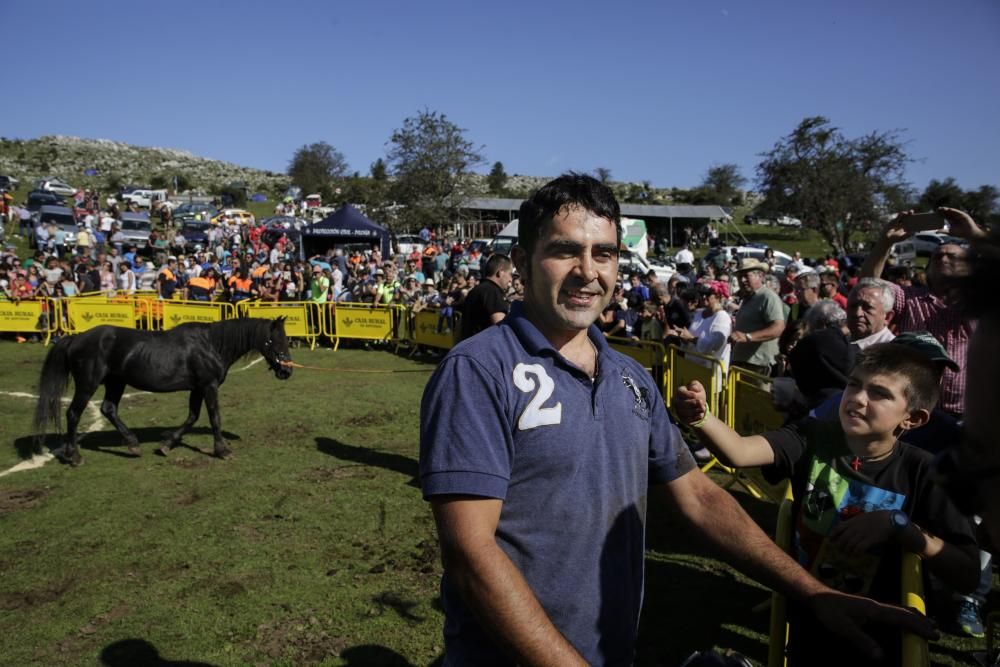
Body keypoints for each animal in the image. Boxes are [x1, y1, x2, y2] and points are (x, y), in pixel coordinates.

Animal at [34, 318, 292, 464]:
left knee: (109, 409)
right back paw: (74, 455)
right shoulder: (208, 386)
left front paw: (166, 445)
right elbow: (214, 418)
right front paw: (222, 450)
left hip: (116, 382)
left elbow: (192, 417)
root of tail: (76, 338)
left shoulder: (197, 388)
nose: (287, 371)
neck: (211, 345)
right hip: (88, 385)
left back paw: (133, 444)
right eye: (274, 341)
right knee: (73, 414)